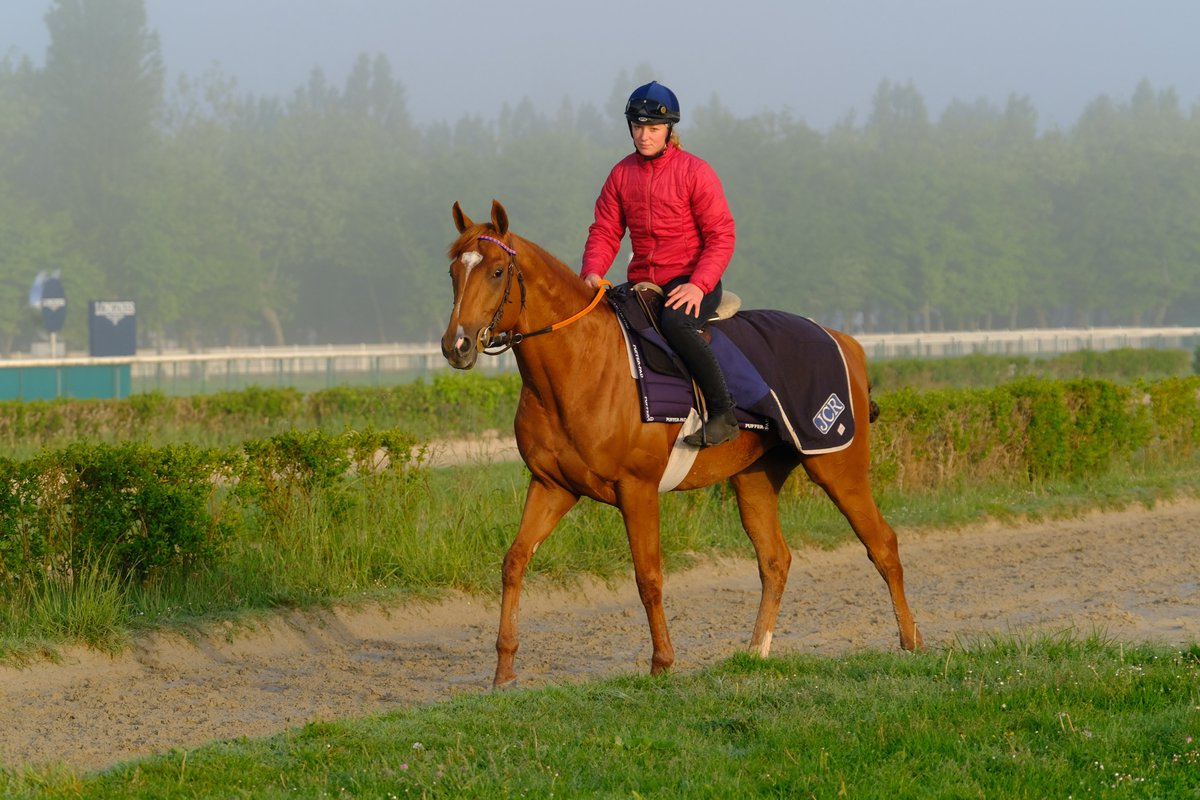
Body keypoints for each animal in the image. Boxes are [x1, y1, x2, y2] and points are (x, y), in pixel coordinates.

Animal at [441, 200, 916, 690]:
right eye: (454, 271)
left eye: (497, 271)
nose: (456, 345)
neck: (581, 365)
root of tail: (847, 341)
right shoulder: (552, 486)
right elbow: (514, 561)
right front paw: (503, 669)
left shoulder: (637, 488)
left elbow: (648, 575)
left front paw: (663, 662)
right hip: (754, 480)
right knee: (775, 559)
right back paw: (756, 651)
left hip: (836, 464)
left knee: (882, 543)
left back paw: (911, 642)